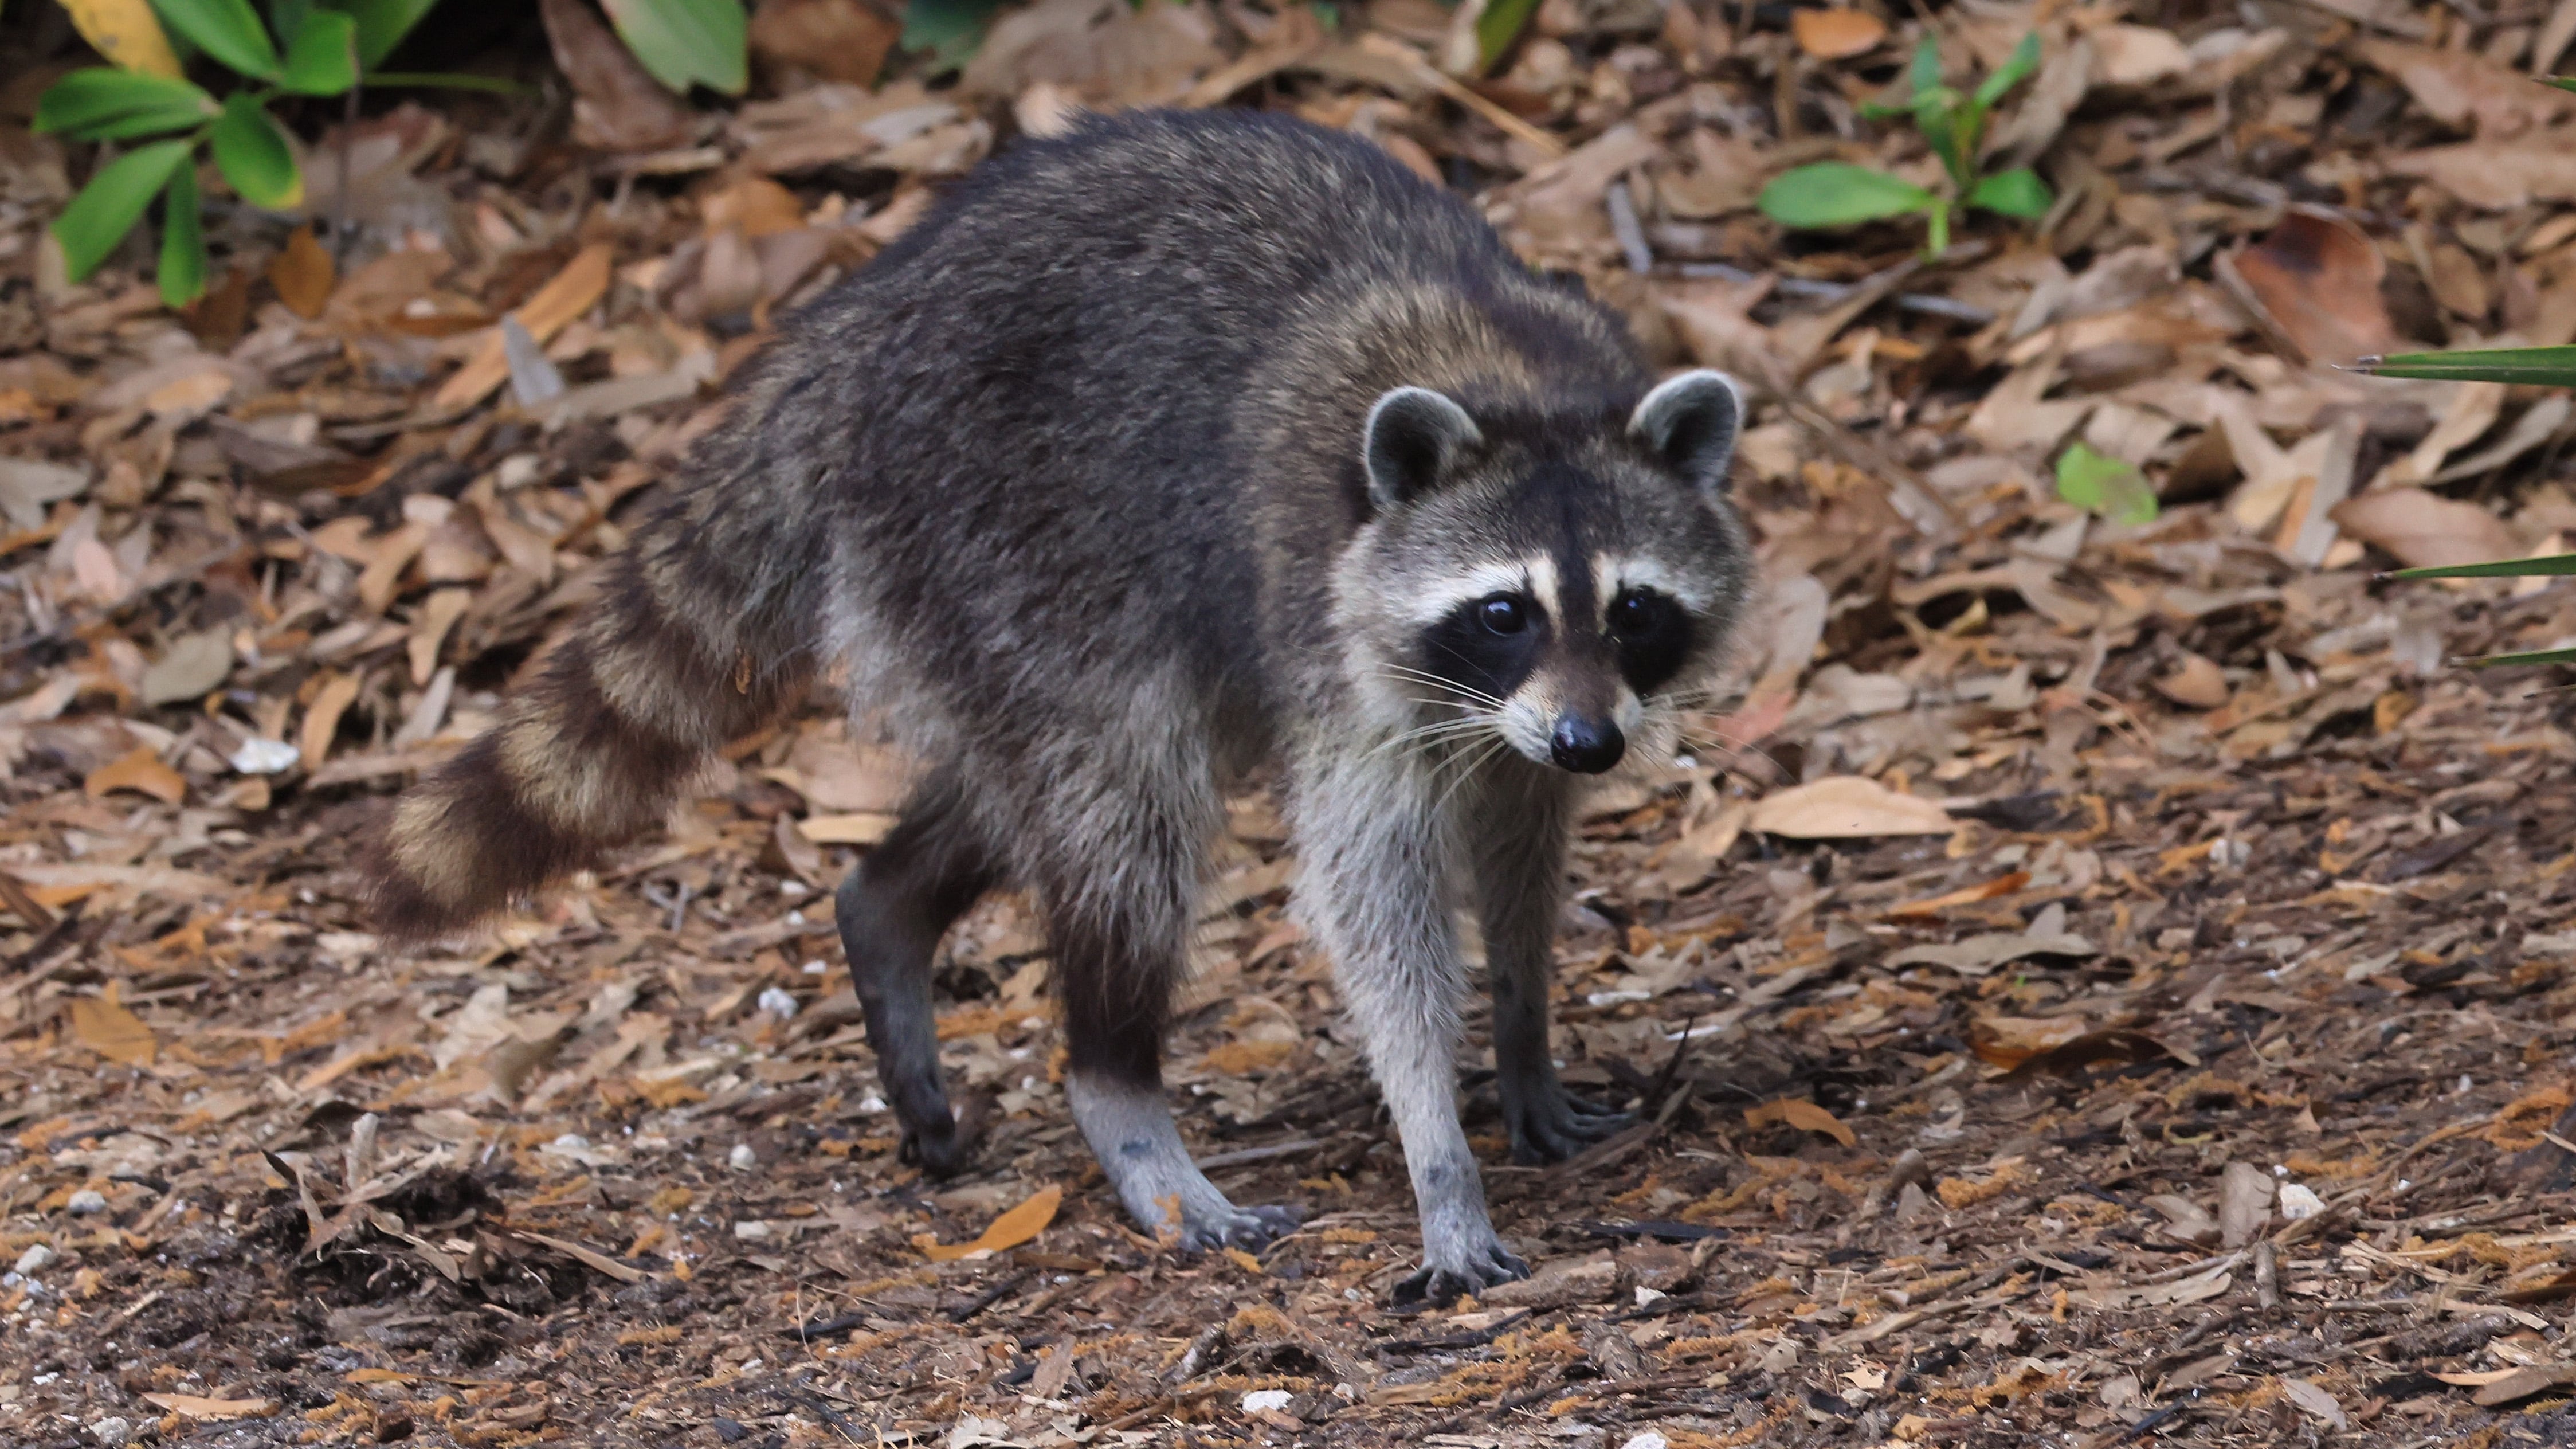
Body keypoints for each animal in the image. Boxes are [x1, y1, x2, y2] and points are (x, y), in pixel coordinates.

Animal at [367, 108, 1753, 1301]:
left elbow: (1521, 839)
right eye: (1505, 609)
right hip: (1006, 535)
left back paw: (888, 909)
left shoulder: (1518, 714)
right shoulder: (1339, 628)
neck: (1511, 379)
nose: (1593, 743)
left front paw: (1523, 1032)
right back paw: (1118, 1086)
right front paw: (1436, 1152)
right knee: (1124, 807)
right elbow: (1375, 897)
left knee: (1028, 784)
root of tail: (850, 332)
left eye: (1634, 608)